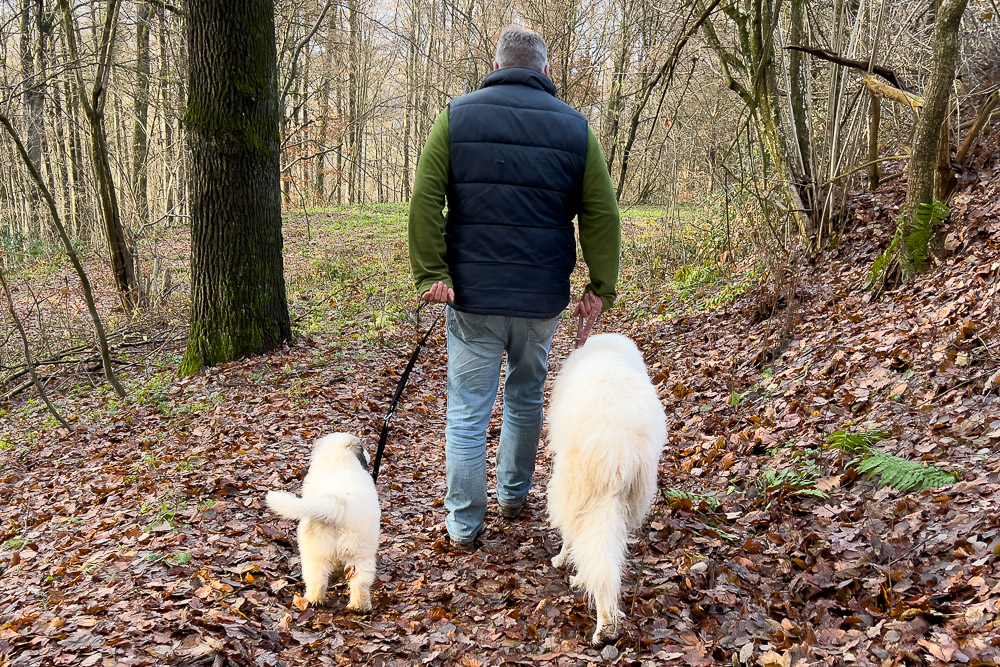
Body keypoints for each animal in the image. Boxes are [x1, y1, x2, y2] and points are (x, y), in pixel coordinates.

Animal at [266, 436, 378, 612]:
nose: (369, 454)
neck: (339, 459)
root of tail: (337, 505)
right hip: (360, 553)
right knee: (360, 582)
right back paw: (360, 606)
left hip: (315, 551)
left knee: (316, 579)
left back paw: (313, 601)